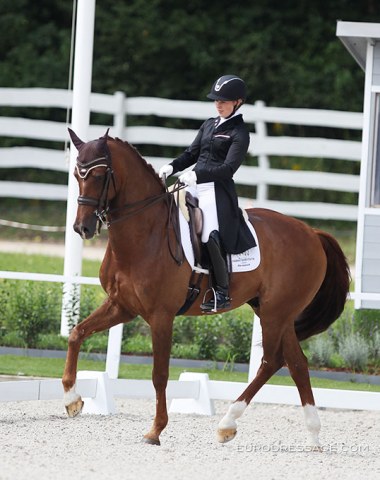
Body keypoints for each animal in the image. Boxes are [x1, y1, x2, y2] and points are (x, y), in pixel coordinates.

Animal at [62, 127, 350, 446]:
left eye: (100, 175)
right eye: (76, 174)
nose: (82, 228)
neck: (145, 234)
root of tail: (312, 232)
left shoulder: (161, 316)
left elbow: (159, 374)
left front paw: (155, 430)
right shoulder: (121, 306)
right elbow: (76, 334)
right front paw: (72, 400)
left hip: (276, 312)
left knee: (271, 360)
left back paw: (228, 423)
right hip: (276, 312)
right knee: (296, 363)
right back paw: (312, 435)